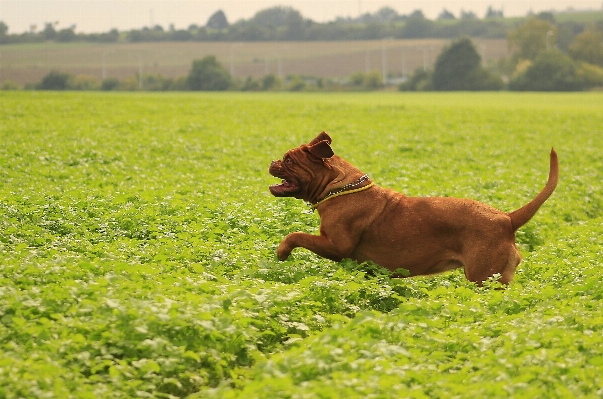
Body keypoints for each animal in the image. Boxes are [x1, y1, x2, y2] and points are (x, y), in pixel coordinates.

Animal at [266, 132, 560, 284]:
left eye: (289, 160)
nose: (272, 161)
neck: (338, 186)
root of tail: (507, 220)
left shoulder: (335, 246)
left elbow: (295, 235)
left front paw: (282, 252)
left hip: (483, 277)